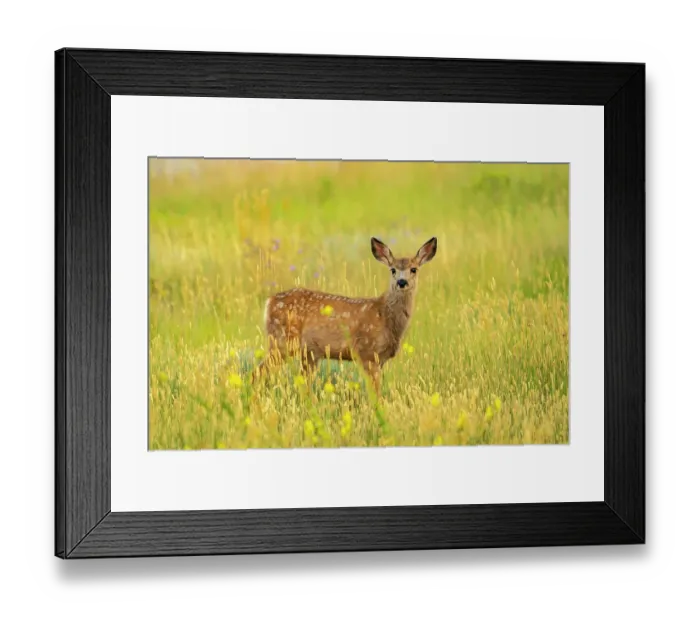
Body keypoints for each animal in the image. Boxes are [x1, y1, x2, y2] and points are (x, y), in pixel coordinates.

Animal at [254, 236, 438, 396]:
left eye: (414, 269)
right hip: (281, 341)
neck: (385, 316)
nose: (401, 282)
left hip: (307, 352)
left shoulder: (380, 359)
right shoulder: (367, 352)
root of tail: (269, 302)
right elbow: (375, 393)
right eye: (393, 270)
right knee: (257, 373)